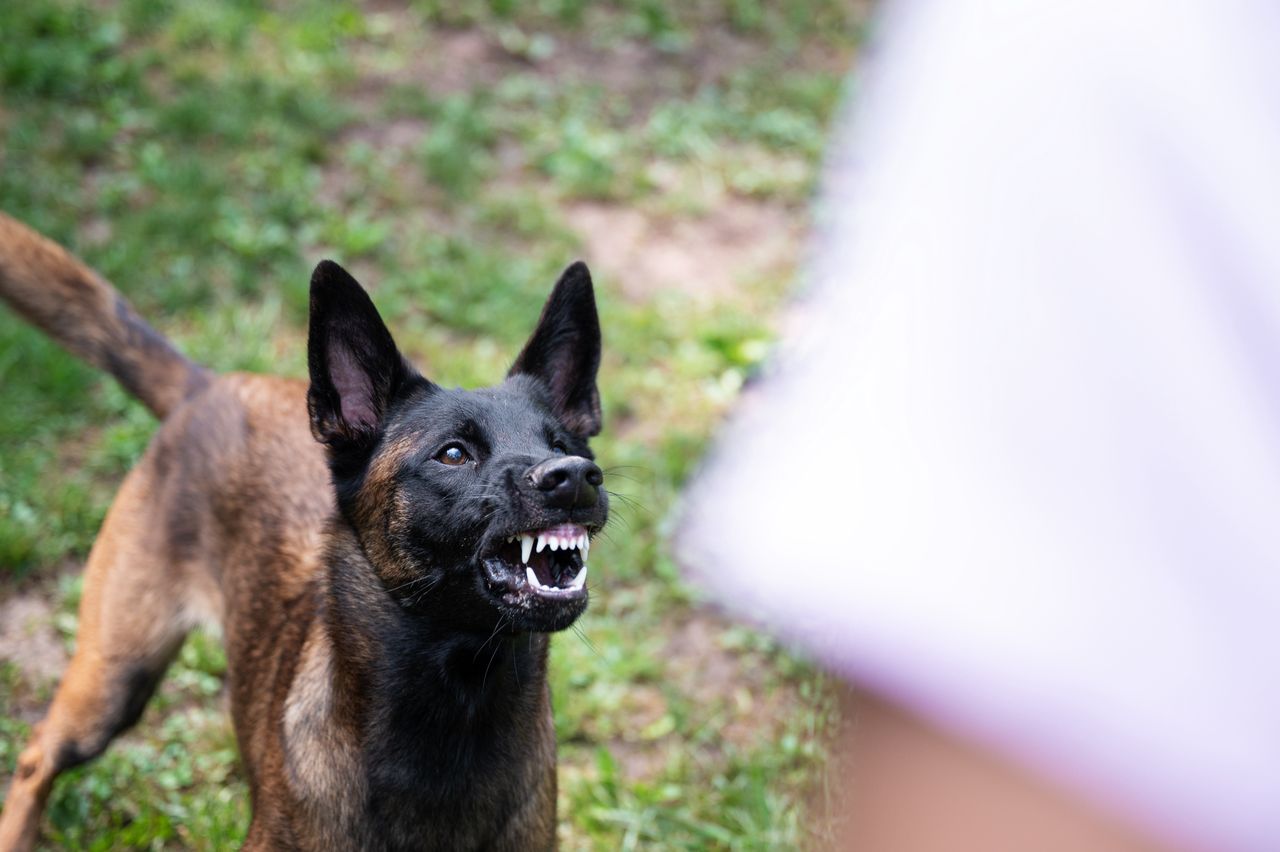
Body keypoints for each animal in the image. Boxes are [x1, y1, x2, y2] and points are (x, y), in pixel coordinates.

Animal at [0, 208, 606, 844]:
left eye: (561, 444)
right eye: (454, 454)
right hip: (115, 674)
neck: (460, 703)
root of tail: (207, 386)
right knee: (37, 754)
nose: (574, 477)